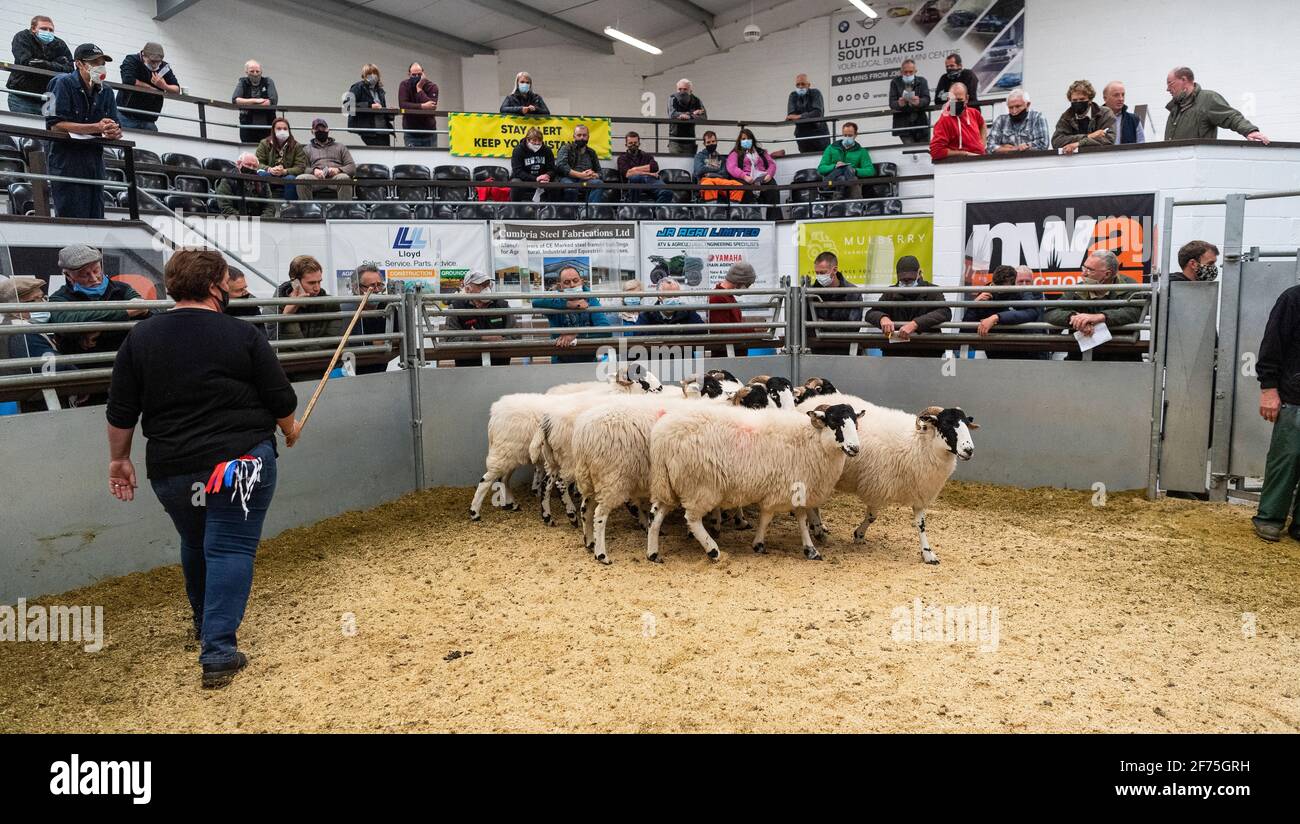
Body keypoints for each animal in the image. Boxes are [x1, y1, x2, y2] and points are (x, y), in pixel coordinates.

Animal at [642, 402, 863, 561]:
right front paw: (810, 550)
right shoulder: (793, 488)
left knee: (655, 515)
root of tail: (661, 436)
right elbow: (794, 518)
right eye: (834, 423)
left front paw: (759, 544)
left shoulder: (781, 489)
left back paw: (653, 554)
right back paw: (713, 551)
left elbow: (768, 517)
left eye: (855, 423)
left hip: (667, 484)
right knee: (693, 519)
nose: (854, 448)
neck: (814, 441)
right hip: (699, 486)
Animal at [790, 387, 977, 561]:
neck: (919, 442)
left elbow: (921, 524)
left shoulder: (919, 492)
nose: (969, 450)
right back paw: (817, 528)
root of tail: (810, 402)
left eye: (966, 424)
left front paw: (928, 553)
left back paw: (818, 526)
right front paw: (859, 535)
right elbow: (872, 516)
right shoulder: (877, 487)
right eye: (946, 424)